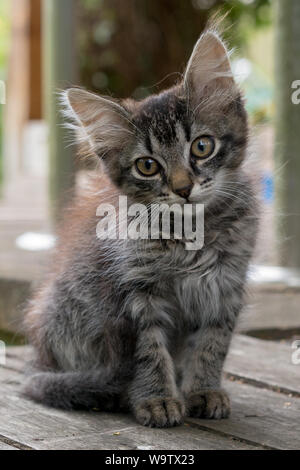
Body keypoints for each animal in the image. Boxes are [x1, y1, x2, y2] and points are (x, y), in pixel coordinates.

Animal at [22, 28, 258, 426]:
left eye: (202, 146)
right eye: (147, 166)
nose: (183, 189)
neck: (190, 236)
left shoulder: (224, 286)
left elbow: (212, 344)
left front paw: (204, 390)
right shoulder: (131, 292)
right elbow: (148, 352)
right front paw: (156, 399)